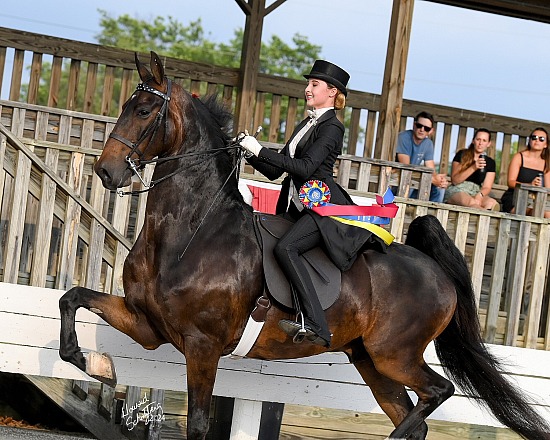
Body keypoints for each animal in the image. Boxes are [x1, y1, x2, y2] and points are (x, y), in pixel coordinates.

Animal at [57, 52, 550, 440]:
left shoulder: (201, 346)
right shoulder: (148, 327)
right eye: (127, 106)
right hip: (371, 361)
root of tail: (434, 267)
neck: (189, 234)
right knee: (415, 416)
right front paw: (96, 362)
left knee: (437, 392)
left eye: (143, 111)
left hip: (395, 354)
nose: (106, 172)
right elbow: (72, 300)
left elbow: (197, 425)